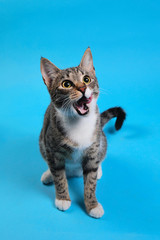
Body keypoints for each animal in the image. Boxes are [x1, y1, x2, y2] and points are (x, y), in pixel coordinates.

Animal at [39, 47, 125, 218]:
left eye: (86, 79)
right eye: (66, 84)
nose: (83, 88)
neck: (78, 123)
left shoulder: (93, 148)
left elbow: (90, 180)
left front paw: (92, 205)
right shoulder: (52, 147)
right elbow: (59, 175)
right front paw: (63, 198)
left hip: (102, 138)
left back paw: (99, 170)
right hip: (42, 140)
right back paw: (48, 174)